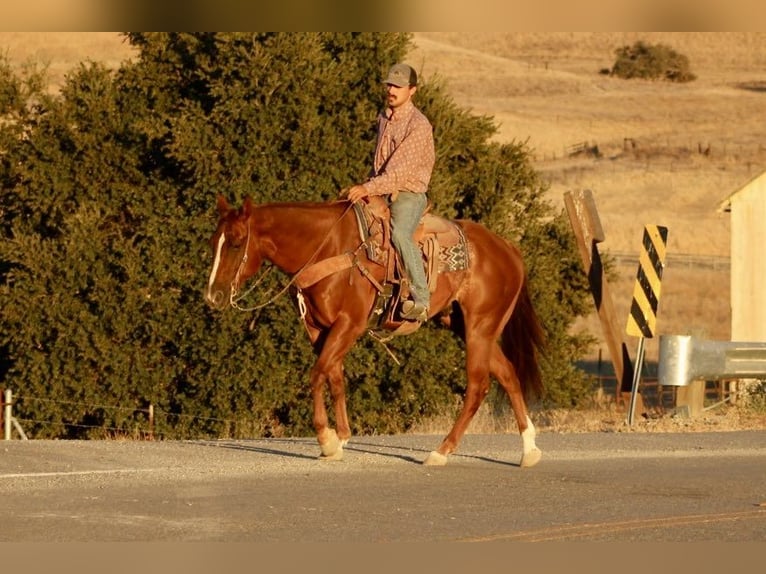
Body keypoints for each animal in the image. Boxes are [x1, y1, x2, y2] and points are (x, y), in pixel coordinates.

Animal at [204, 194, 546, 467]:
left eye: (236, 242)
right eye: (213, 242)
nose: (213, 296)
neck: (327, 246)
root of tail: (508, 248)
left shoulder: (349, 324)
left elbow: (317, 374)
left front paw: (326, 439)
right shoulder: (318, 328)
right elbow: (334, 376)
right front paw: (341, 438)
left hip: (479, 327)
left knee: (478, 386)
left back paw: (441, 452)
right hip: (469, 328)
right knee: (508, 374)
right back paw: (529, 450)